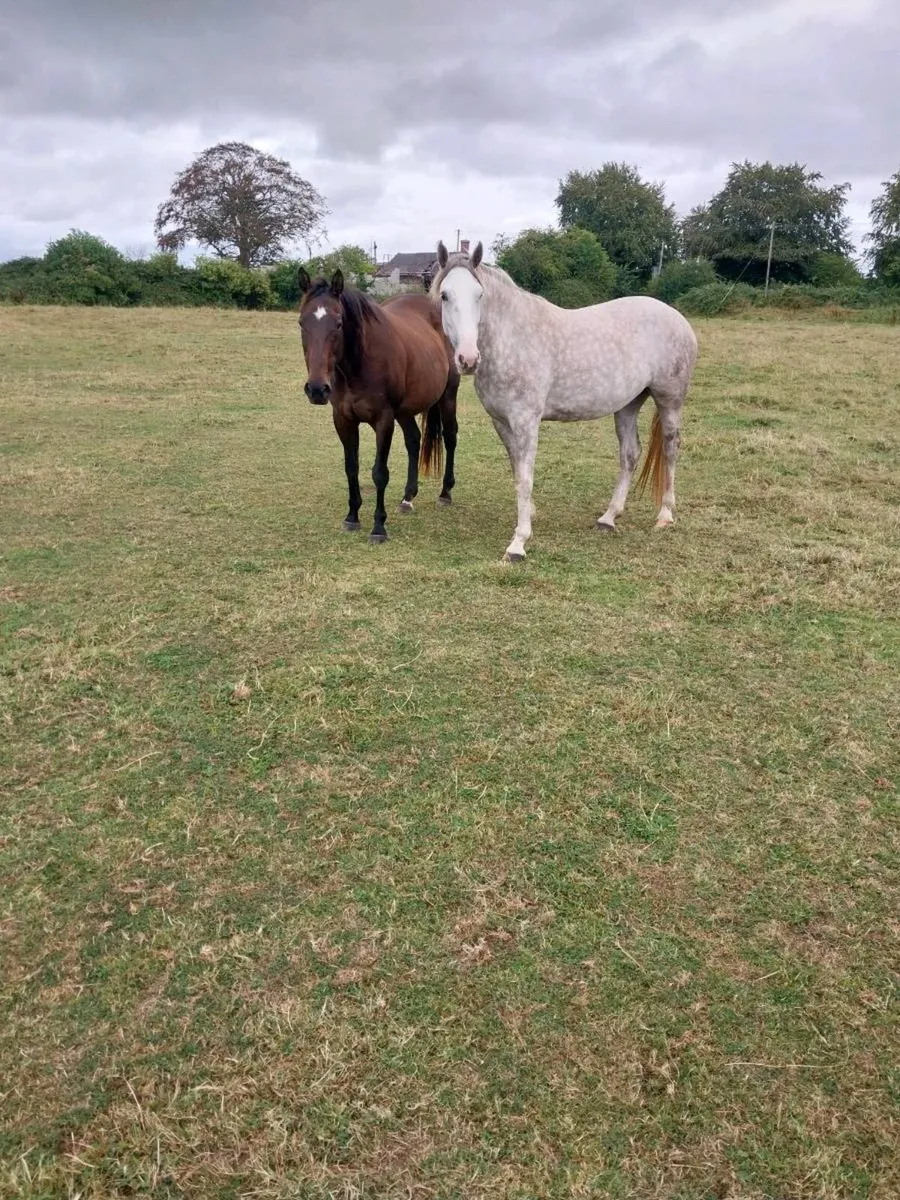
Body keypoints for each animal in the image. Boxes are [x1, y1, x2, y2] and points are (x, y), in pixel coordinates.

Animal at [297, 267, 460, 544]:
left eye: (338, 324)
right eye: (301, 323)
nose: (317, 389)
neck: (359, 365)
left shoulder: (383, 421)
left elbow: (379, 473)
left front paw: (378, 527)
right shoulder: (343, 420)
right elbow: (351, 467)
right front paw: (352, 516)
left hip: (447, 397)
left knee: (450, 437)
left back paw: (445, 493)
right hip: (404, 411)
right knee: (414, 440)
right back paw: (408, 498)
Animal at [429, 241, 698, 562]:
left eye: (479, 295)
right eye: (445, 295)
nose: (468, 359)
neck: (511, 339)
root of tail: (678, 318)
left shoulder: (526, 421)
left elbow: (526, 476)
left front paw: (518, 543)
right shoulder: (502, 422)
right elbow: (517, 470)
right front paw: (529, 515)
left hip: (669, 399)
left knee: (670, 448)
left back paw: (665, 514)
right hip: (628, 405)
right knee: (630, 454)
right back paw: (609, 517)